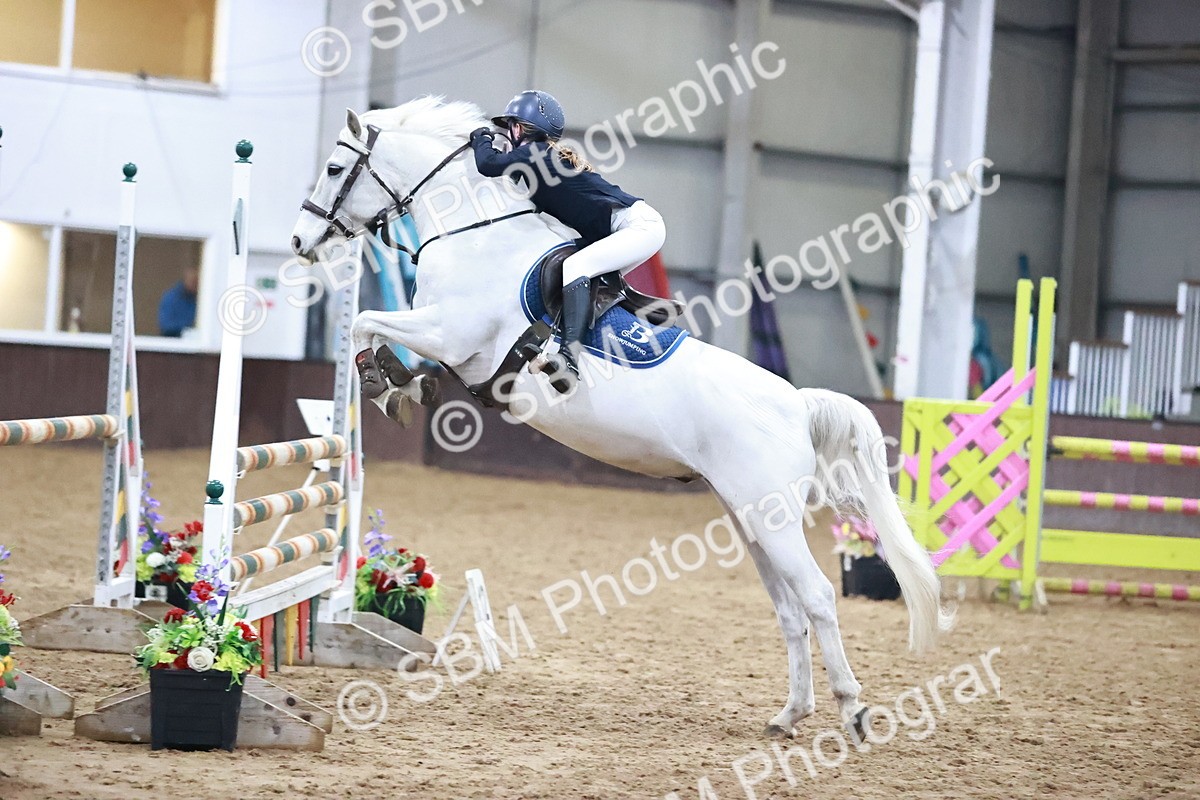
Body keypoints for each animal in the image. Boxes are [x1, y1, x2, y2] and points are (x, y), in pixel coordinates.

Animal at [290, 96, 953, 738]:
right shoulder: (445, 341)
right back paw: (789, 715)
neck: (473, 232)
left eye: (333, 168)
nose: (300, 243)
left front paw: (383, 386)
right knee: (790, 610)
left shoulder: (450, 334)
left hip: (774, 519)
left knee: (815, 597)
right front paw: (397, 386)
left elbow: (365, 321)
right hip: (750, 518)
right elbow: (373, 331)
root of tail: (796, 403)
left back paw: (852, 710)